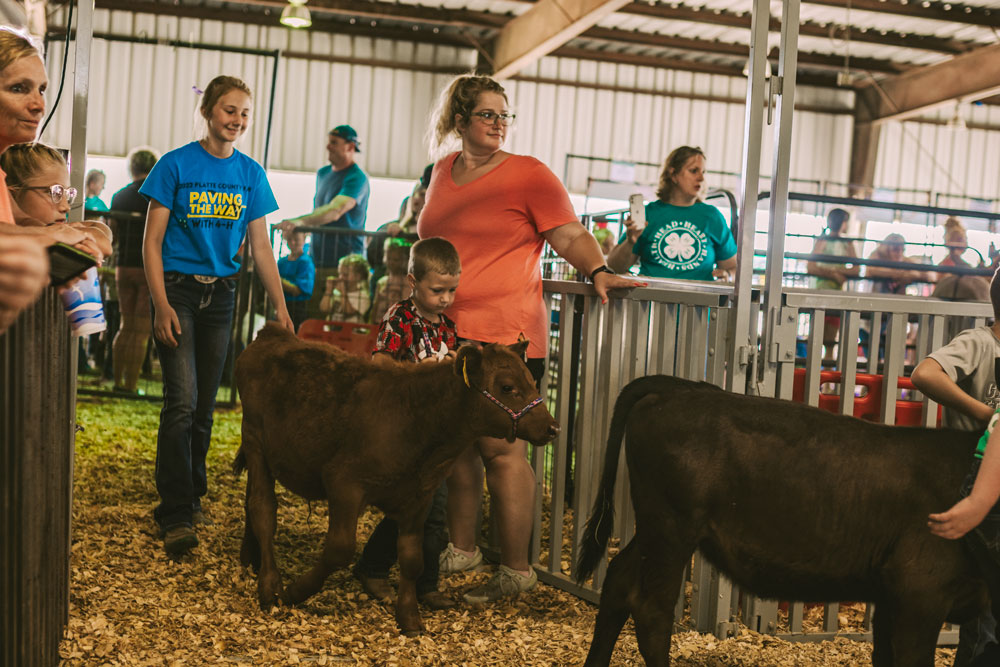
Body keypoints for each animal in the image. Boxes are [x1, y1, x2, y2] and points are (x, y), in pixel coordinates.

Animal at [235, 326, 564, 636]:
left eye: (531, 381)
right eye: (507, 387)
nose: (552, 427)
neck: (415, 420)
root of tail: (273, 332)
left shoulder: (419, 496)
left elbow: (411, 558)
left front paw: (409, 617)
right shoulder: (344, 482)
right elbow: (339, 549)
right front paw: (295, 592)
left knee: (253, 505)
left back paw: (251, 558)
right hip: (254, 439)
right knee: (263, 508)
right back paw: (269, 585)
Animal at [576, 376, 996, 667]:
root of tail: (676, 388)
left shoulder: (892, 596)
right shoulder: (921, 591)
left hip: (656, 529)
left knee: (618, 578)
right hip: (671, 528)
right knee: (651, 608)